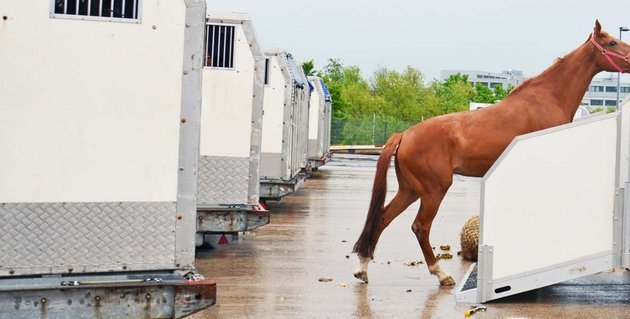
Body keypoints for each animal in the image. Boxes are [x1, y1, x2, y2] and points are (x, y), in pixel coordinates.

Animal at [354, 21, 630, 286]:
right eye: (612, 42)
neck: (547, 99)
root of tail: (404, 135)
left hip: (410, 190)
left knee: (382, 218)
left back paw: (363, 269)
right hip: (433, 191)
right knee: (420, 227)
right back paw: (441, 274)